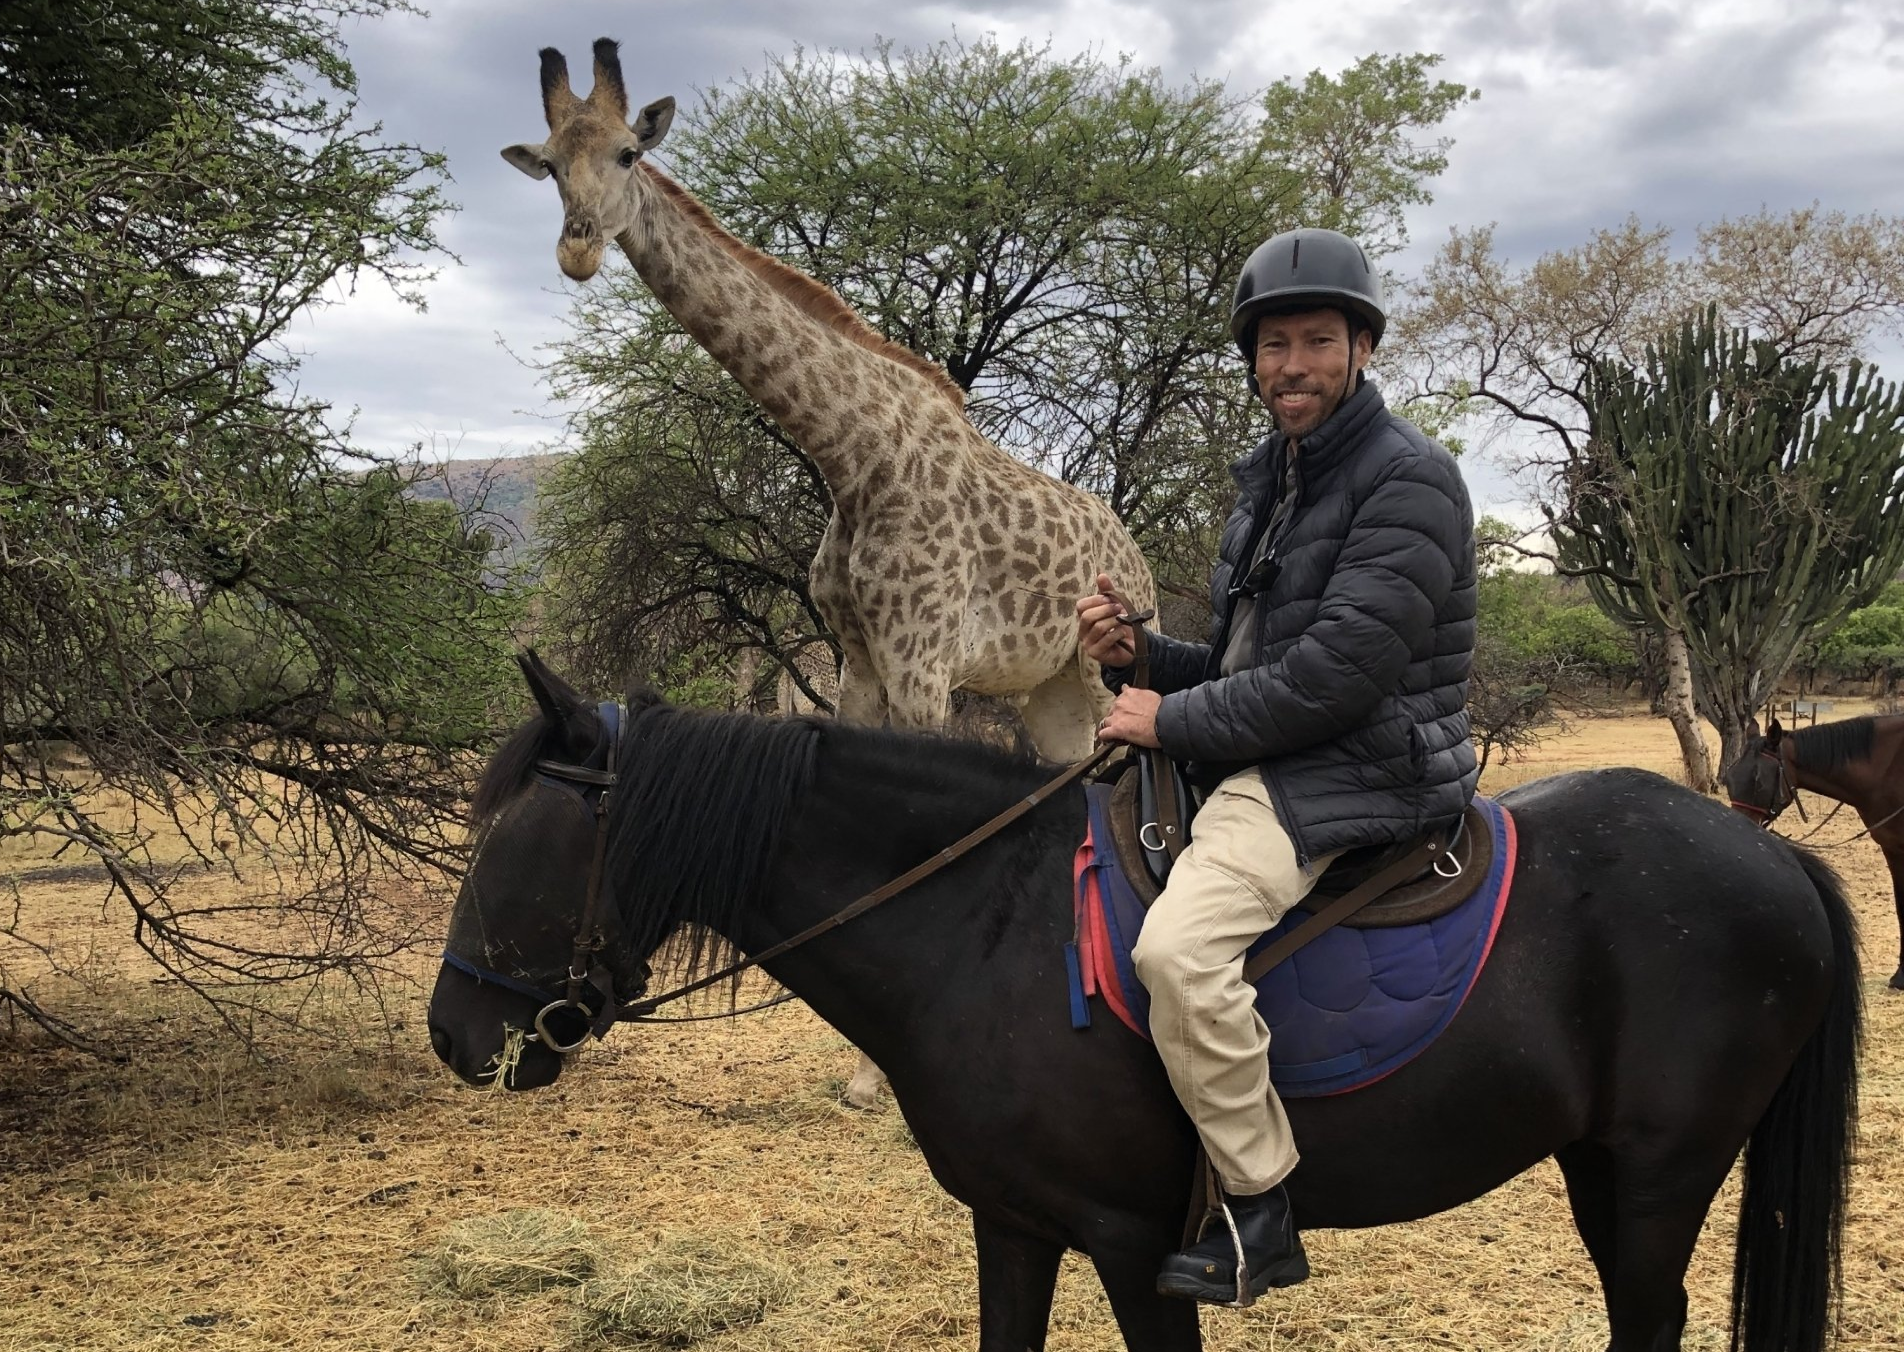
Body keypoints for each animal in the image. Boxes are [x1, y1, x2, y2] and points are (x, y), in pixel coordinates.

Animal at [505, 40, 1157, 1106]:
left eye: (629, 156)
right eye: (553, 166)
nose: (578, 250)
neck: (851, 457)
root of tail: (1131, 548)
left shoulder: (923, 658)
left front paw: (875, 1080)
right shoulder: (855, 653)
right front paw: (861, 1064)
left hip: (1112, 667)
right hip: (1049, 686)